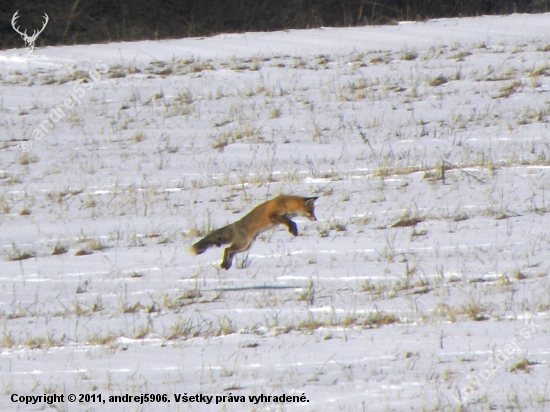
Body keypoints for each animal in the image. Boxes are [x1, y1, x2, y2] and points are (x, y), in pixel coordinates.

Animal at [192, 195, 320, 268]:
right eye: (311, 211)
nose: (315, 219)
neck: (286, 204)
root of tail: (235, 225)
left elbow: (291, 222)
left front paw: (294, 230)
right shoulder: (273, 215)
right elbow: (289, 222)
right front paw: (293, 230)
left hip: (245, 246)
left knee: (230, 252)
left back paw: (227, 265)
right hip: (242, 244)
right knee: (227, 249)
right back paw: (224, 264)